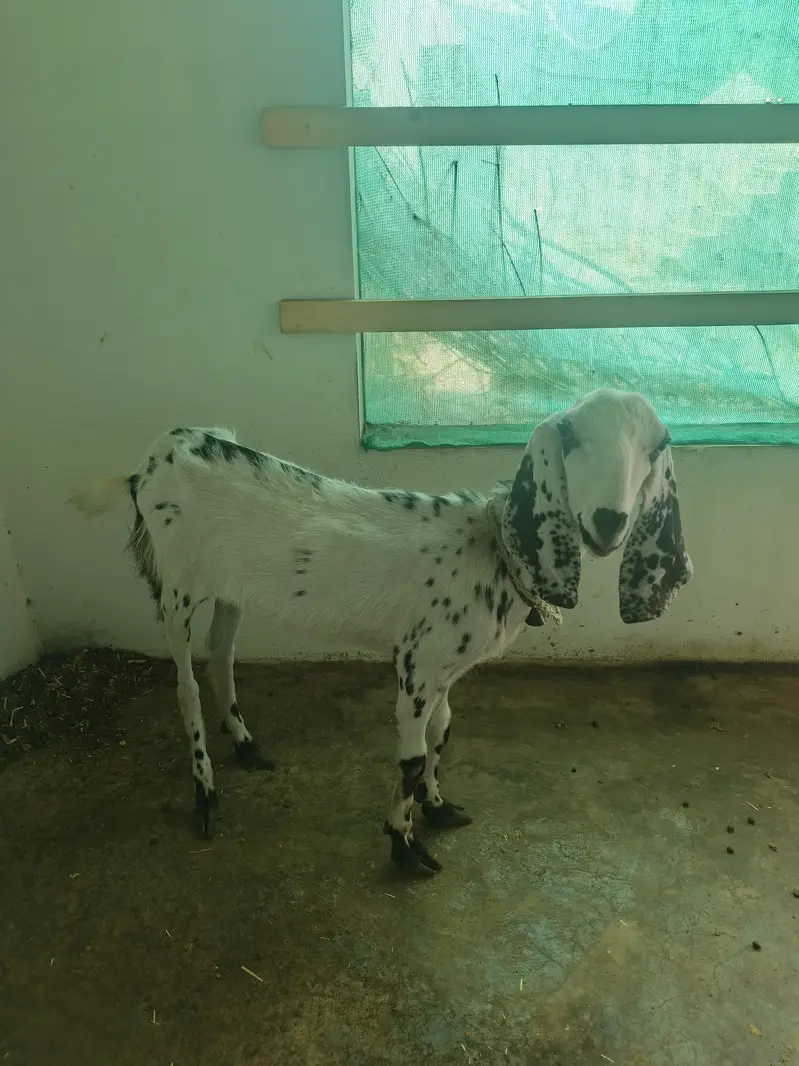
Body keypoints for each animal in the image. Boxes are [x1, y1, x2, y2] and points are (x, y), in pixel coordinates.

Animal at [70, 388, 692, 875]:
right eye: (570, 437)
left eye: (655, 447)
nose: (609, 522)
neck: (490, 549)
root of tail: (153, 459)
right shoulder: (416, 666)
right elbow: (411, 758)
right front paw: (404, 846)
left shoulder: (444, 668)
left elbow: (444, 731)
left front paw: (439, 808)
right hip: (175, 585)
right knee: (184, 685)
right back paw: (206, 793)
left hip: (229, 588)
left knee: (220, 654)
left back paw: (246, 745)